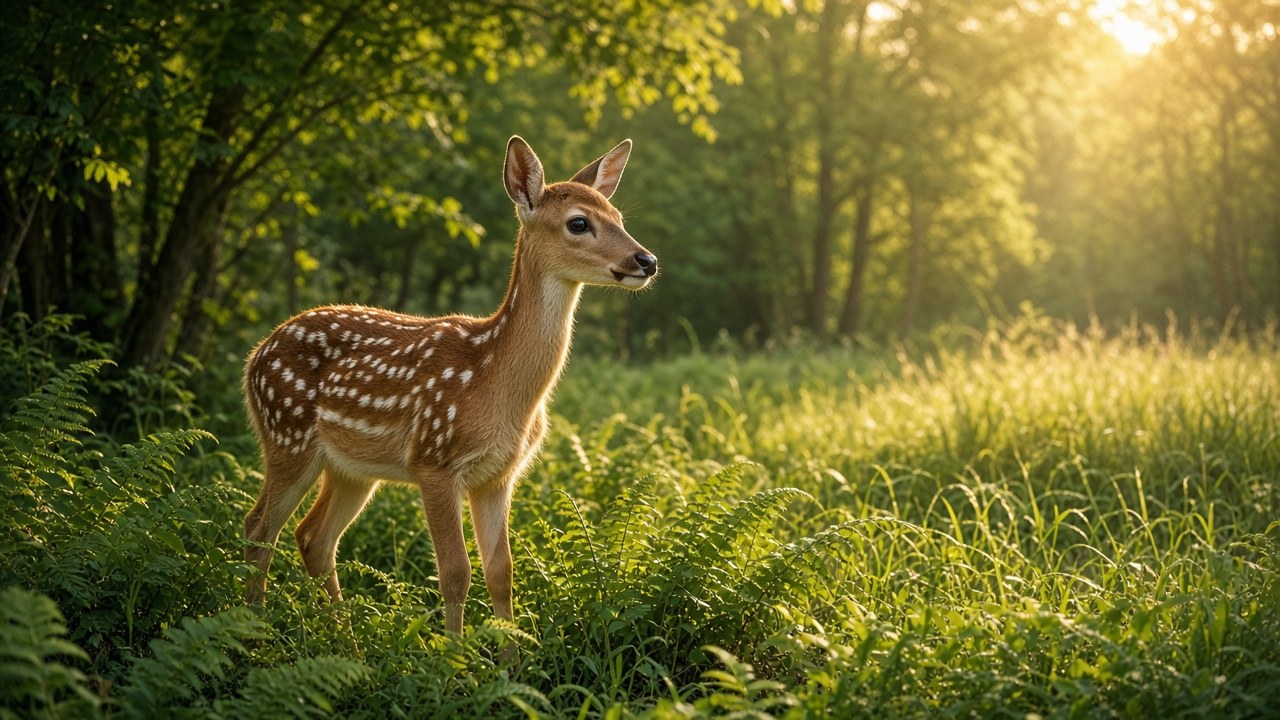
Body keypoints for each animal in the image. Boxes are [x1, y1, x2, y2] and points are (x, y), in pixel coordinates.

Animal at [242, 136, 657, 639]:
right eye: (579, 222)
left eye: (618, 216)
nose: (647, 260)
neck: (496, 380)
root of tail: (255, 355)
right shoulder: (434, 460)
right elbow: (456, 571)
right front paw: (452, 656)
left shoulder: (499, 474)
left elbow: (501, 573)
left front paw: (508, 657)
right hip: (287, 434)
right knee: (259, 528)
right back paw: (254, 632)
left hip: (350, 467)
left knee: (312, 537)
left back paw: (347, 643)